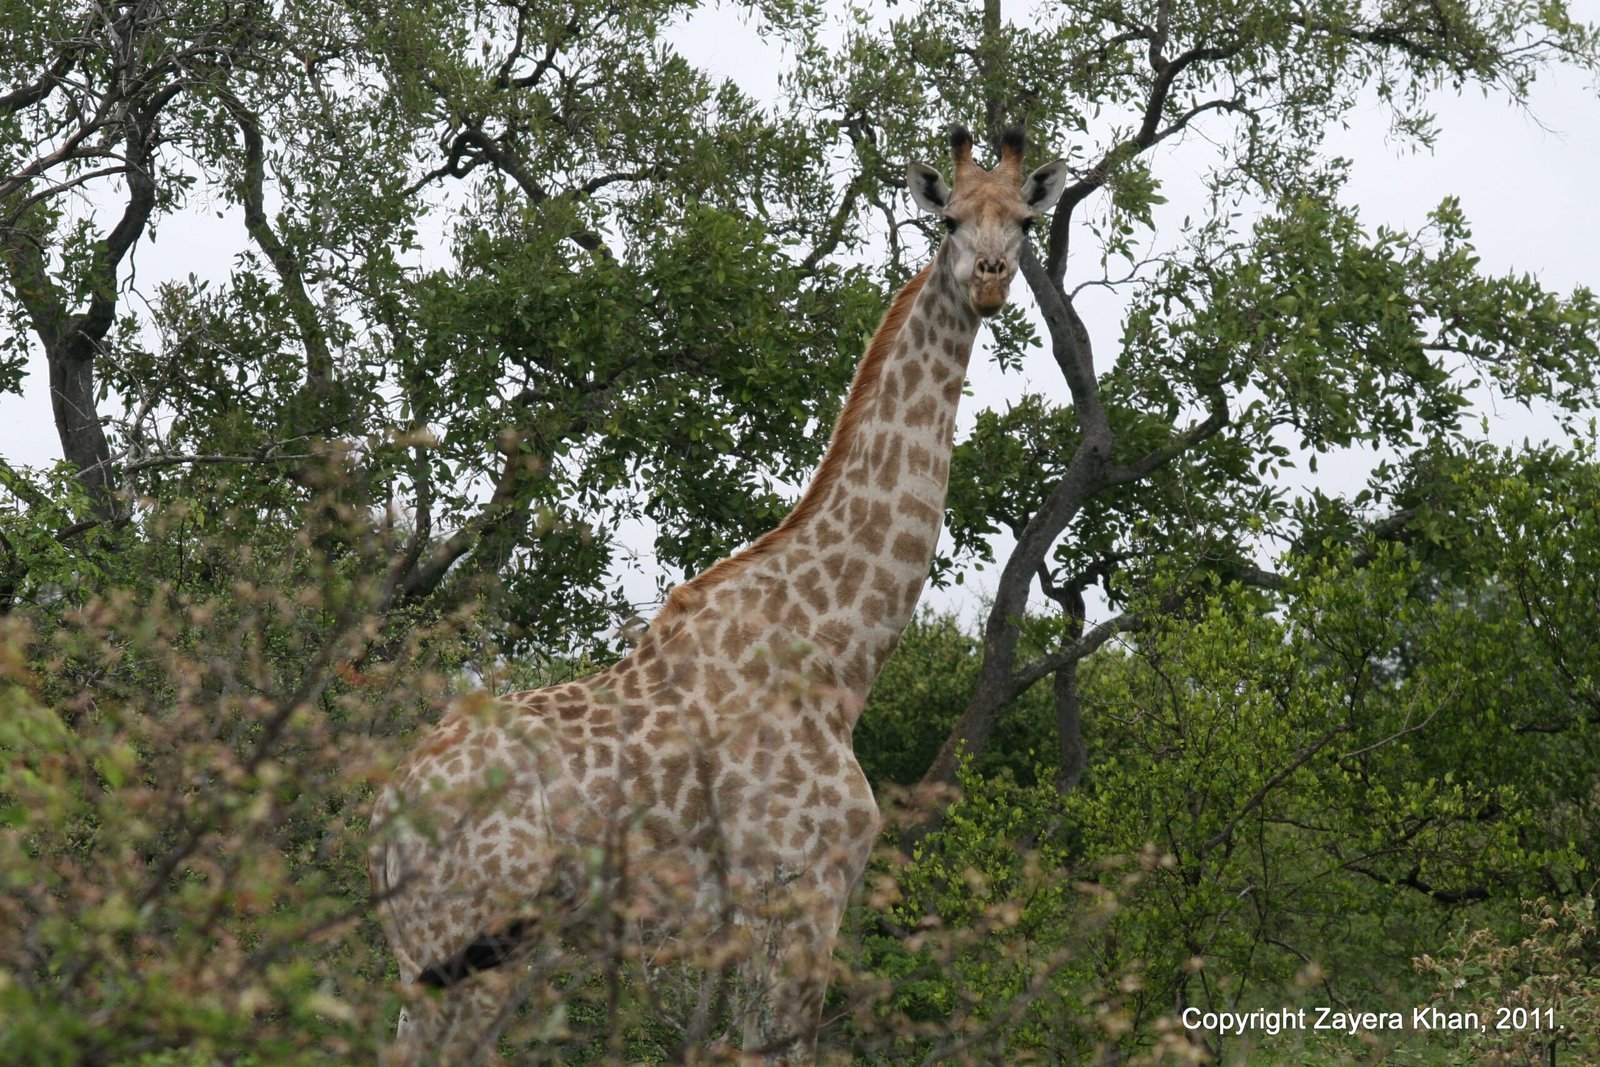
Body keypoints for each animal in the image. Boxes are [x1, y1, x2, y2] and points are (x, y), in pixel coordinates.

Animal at [370, 125, 1068, 1065]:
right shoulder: (797, 888)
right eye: (949, 219)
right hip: (471, 943)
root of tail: (380, 817)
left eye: (1025, 222)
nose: (990, 279)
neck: (841, 653)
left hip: (445, 954)